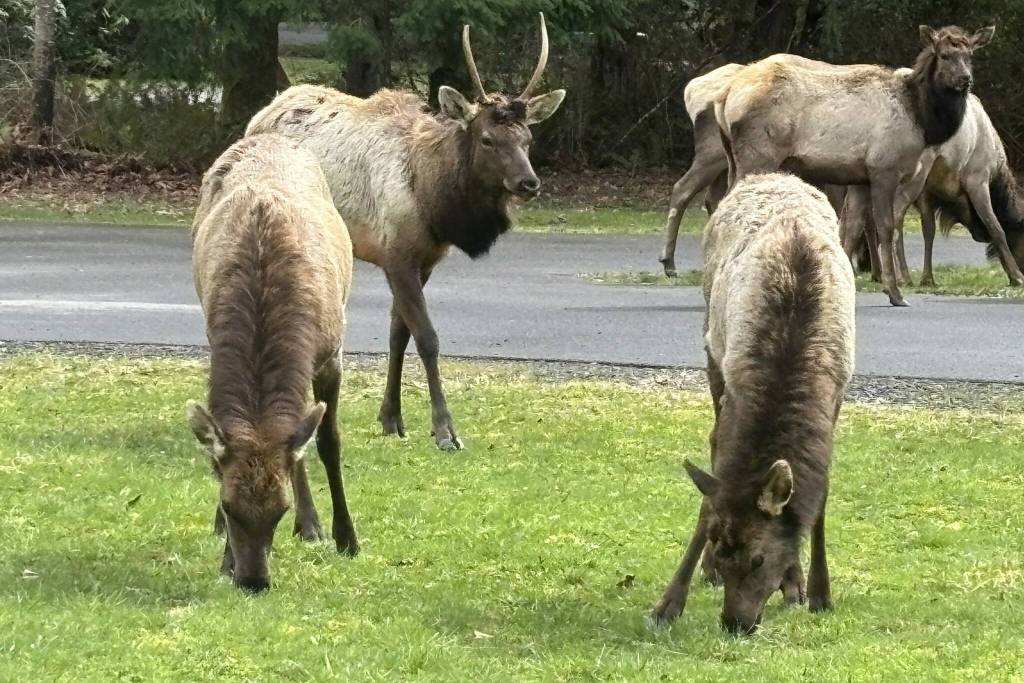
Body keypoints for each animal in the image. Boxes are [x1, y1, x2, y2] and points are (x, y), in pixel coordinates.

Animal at [186, 133, 357, 592]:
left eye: (280, 509)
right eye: (229, 506)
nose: (253, 580)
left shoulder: (332, 354)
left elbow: (328, 442)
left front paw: (346, 537)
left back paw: (314, 526)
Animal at [246, 14, 565, 451]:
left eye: (528, 138)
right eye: (487, 138)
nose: (529, 183)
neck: (430, 195)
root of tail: (259, 115)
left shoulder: (425, 259)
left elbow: (399, 333)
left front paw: (391, 418)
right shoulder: (395, 255)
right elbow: (427, 337)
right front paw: (445, 430)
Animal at [651, 173, 855, 634]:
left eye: (759, 559)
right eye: (719, 546)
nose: (735, 622)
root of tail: (767, 175)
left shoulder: (836, 395)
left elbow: (819, 493)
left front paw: (814, 590)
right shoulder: (735, 387)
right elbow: (714, 486)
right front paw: (669, 603)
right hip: (712, 344)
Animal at [715, 25, 995, 306]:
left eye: (970, 55)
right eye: (944, 55)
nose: (965, 79)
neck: (921, 117)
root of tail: (725, 96)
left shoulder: (861, 178)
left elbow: (851, 227)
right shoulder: (884, 168)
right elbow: (885, 227)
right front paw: (894, 292)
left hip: (734, 159)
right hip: (758, 155)